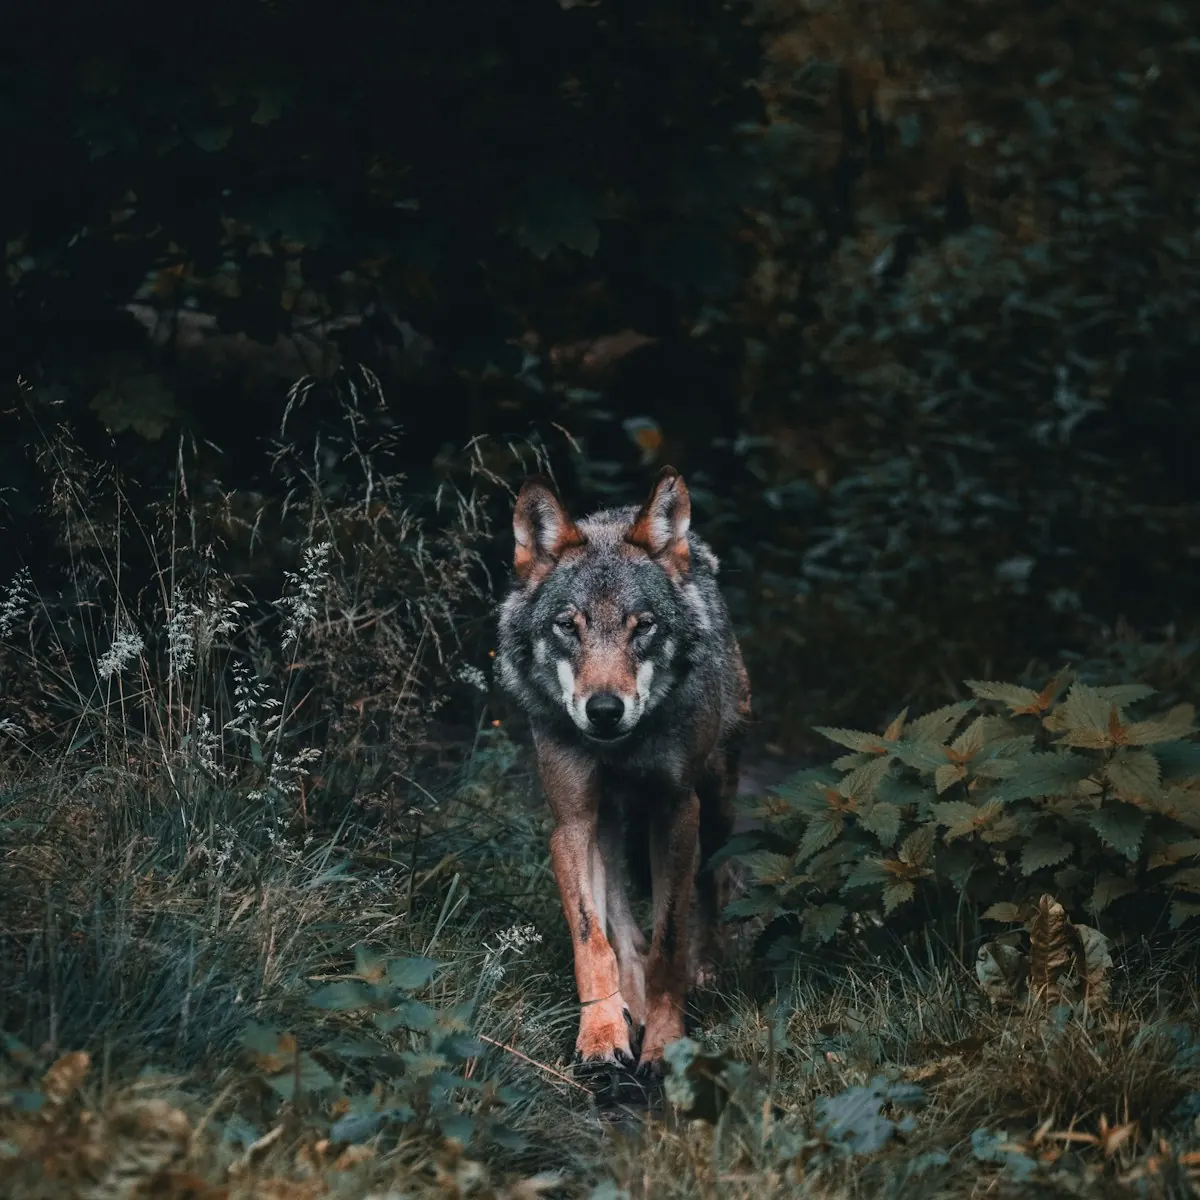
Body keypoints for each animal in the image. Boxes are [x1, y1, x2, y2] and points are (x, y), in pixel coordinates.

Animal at [496, 467, 751, 1074]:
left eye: (644, 627)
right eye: (568, 626)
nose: (605, 710)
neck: (620, 750)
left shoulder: (677, 811)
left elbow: (669, 939)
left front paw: (664, 1040)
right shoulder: (571, 823)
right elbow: (594, 940)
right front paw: (601, 1033)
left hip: (718, 804)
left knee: (712, 885)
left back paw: (705, 969)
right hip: (607, 826)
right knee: (621, 924)